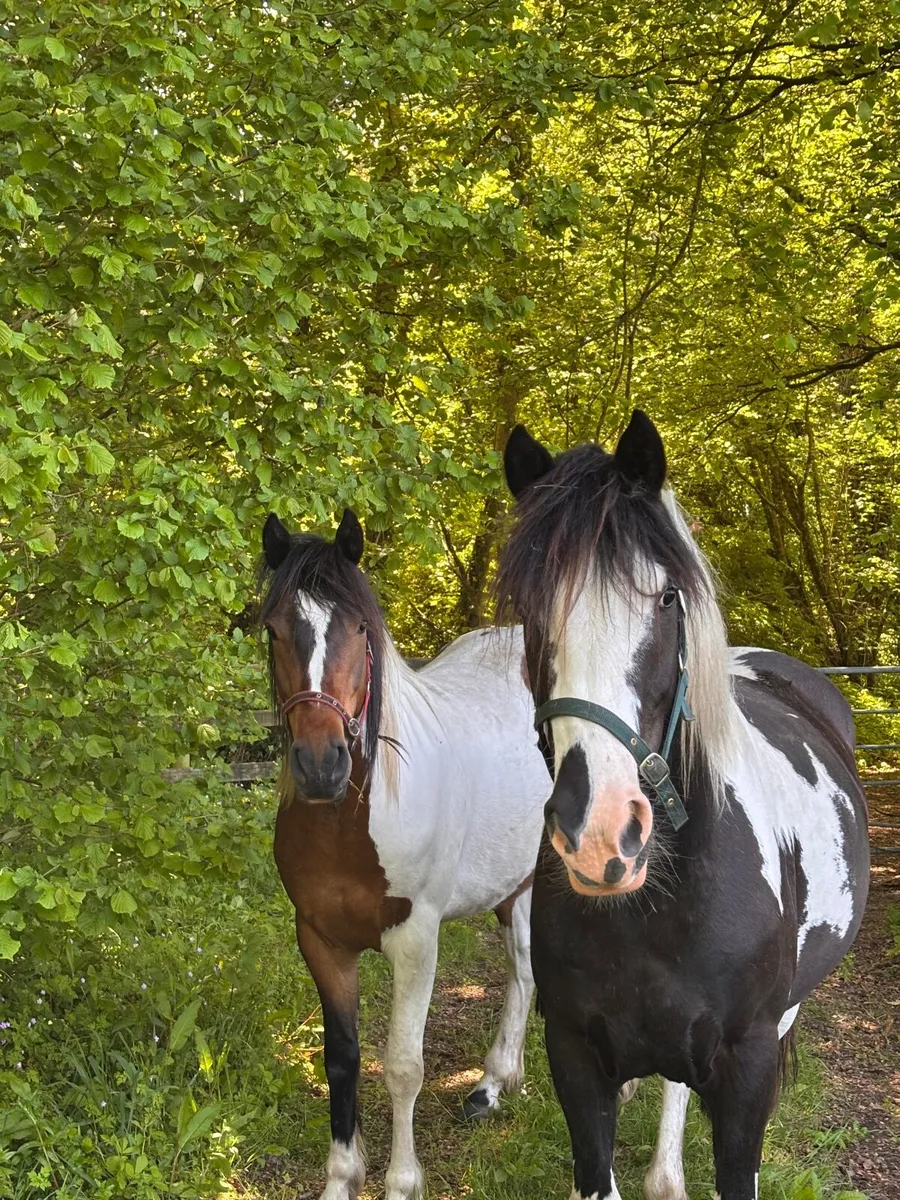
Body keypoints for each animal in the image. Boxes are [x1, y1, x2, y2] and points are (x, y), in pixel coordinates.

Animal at [259, 509, 550, 1200]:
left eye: (359, 629)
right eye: (274, 631)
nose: (320, 765)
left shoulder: (416, 940)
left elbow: (401, 1066)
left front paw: (401, 1181)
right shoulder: (320, 939)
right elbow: (342, 1059)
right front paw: (342, 1178)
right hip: (514, 884)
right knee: (522, 968)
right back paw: (492, 1084)